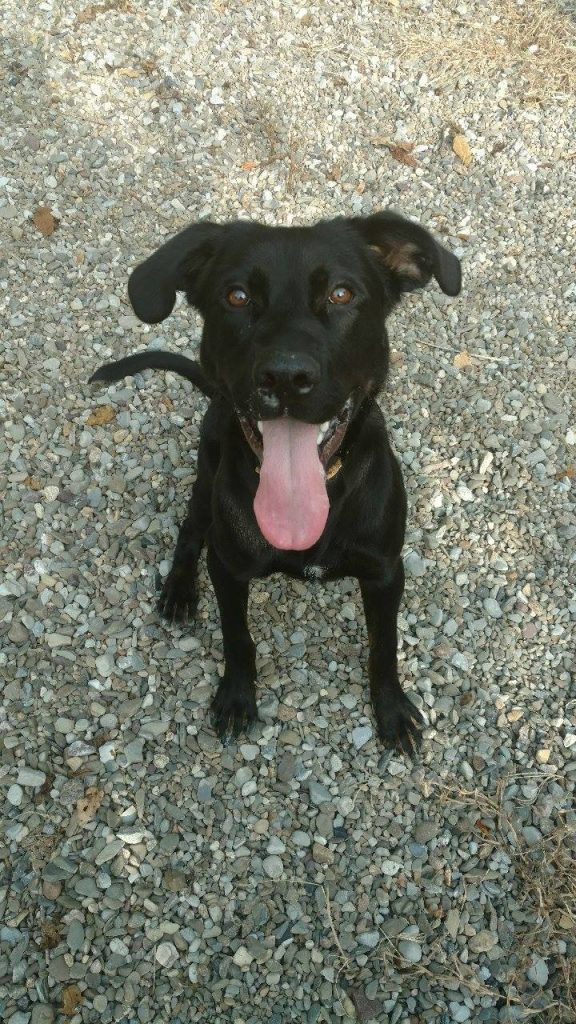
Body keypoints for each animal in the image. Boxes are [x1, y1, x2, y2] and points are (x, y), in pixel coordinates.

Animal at [91, 211, 459, 753]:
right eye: (237, 296)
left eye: (342, 294)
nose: (286, 377)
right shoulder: (228, 567)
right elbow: (237, 639)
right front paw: (236, 697)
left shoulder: (385, 572)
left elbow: (384, 645)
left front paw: (391, 710)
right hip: (206, 481)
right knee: (190, 530)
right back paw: (179, 589)